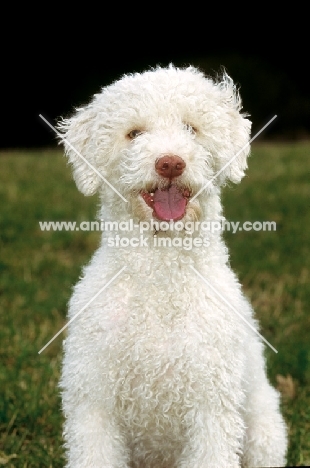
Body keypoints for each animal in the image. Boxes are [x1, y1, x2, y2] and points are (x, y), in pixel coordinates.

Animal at [58, 64, 288, 466]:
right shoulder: (93, 404)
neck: (160, 278)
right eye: (134, 133)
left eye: (191, 128)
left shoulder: (212, 409)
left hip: (264, 433)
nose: (170, 163)